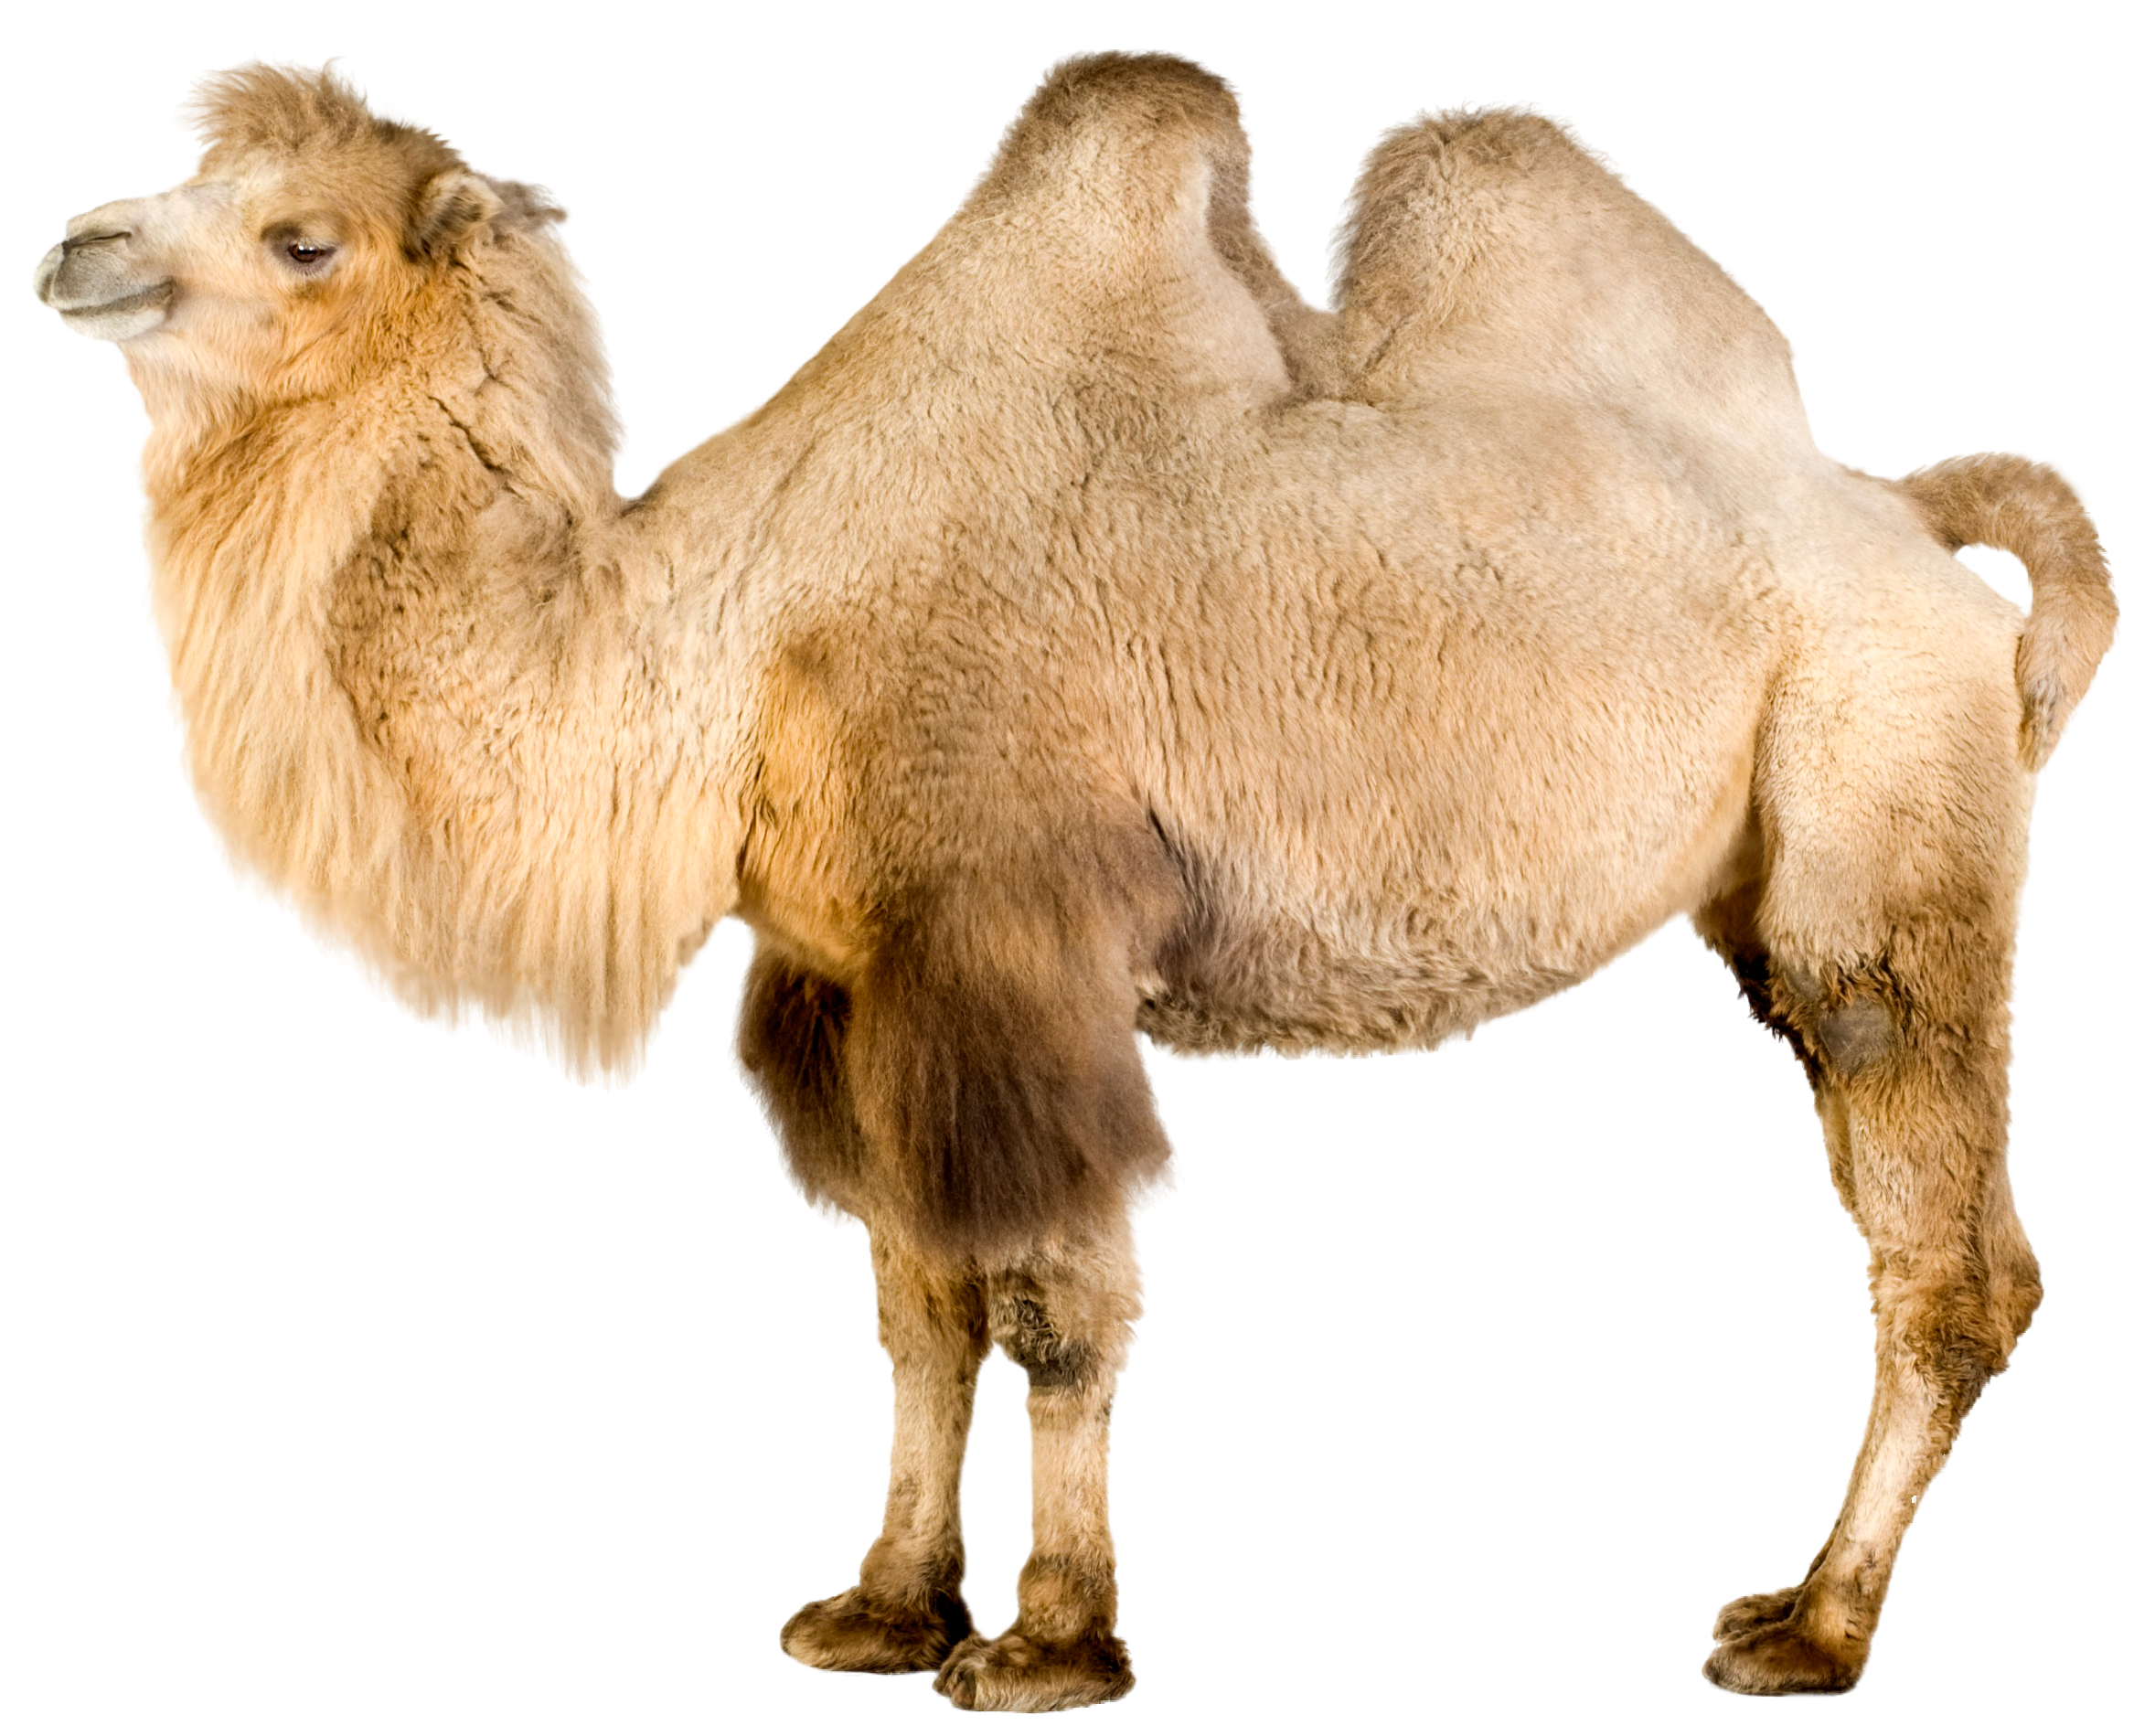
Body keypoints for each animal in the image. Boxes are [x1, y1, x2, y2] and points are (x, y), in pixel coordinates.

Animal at [40, 57, 2117, 1713]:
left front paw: (1047, 1644)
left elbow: (1048, 1306)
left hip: (1873, 787)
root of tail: (1957, 549)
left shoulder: (1009, 945)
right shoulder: (841, 985)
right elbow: (919, 1301)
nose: (72, 246)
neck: (727, 640)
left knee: (1926, 1201)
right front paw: (883, 1608)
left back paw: (1815, 1631)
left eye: (301, 237)